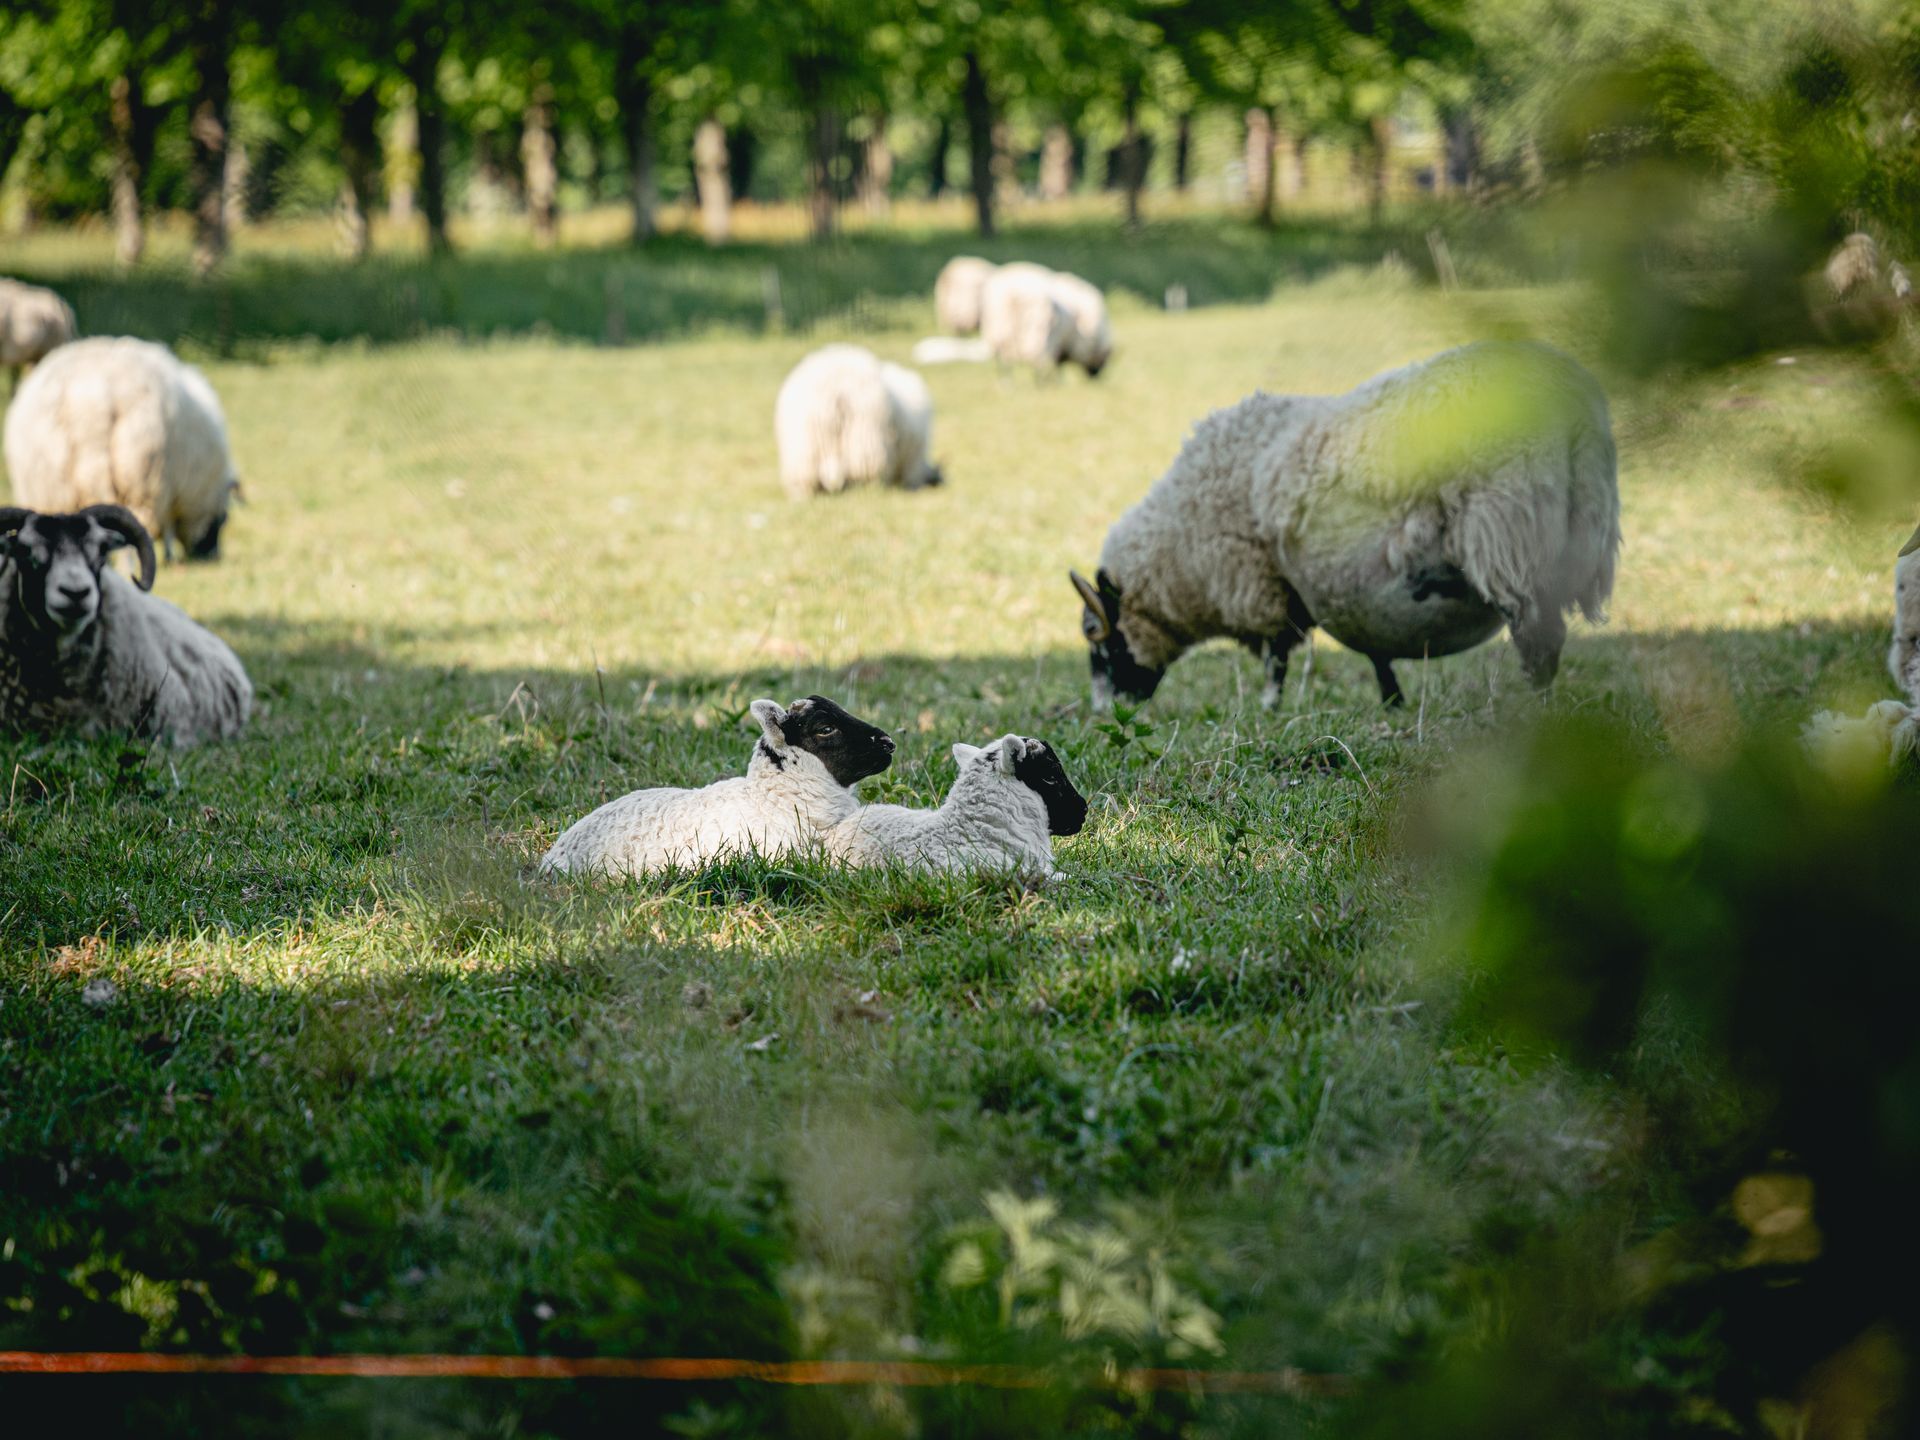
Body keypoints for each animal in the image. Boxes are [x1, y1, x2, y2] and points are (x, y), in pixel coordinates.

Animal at [4, 337, 241, 561]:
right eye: (224, 518)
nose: (211, 557)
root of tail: (93, 399)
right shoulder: (169, 486)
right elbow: (168, 528)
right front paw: (169, 555)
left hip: (58, 487)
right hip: (141, 475)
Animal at [775, 344, 943, 499]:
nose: (939, 480)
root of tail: (836, 389)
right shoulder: (913, 458)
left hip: (805, 449)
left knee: (804, 479)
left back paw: (802, 497)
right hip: (866, 440)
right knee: (869, 474)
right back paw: (872, 490)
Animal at [1070, 340, 1620, 709]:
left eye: (1097, 637)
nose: (1104, 714)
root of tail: (1573, 411)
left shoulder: (1262, 585)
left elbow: (1276, 658)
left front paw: (1269, 710)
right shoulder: (1331, 594)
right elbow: (1374, 652)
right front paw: (1393, 703)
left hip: (1506, 532)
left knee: (1538, 637)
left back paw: (1537, 707)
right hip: (1575, 534)